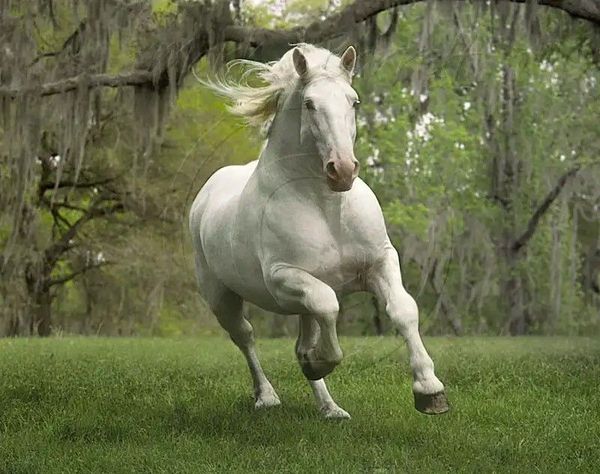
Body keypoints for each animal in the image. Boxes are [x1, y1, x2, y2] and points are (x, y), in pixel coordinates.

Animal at [190, 43, 448, 418]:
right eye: (310, 104)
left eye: (354, 101)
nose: (342, 170)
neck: (327, 208)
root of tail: (206, 194)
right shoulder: (283, 278)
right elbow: (329, 308)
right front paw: (319, 362)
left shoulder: (380, 262)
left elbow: (403, 310)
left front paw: (430, 390)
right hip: (221, 297)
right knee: (246, 337)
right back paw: (267, 396)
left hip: (298, 302)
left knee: (299, 339)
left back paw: (330, 408)